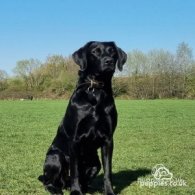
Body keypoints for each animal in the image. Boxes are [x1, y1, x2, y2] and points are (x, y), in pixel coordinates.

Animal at [38, 40, 126, 194]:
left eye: (113, 52)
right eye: (95, 52)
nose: (109, 61)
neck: (96, 91)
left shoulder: (108, 139)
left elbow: (108, 171)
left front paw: (109, 191)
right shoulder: (75, 139)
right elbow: (75, 171)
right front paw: (76, 192)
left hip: (95, 164)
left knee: (85, 178)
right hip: (55, 157)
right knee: (49, 182)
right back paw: (58, 189)